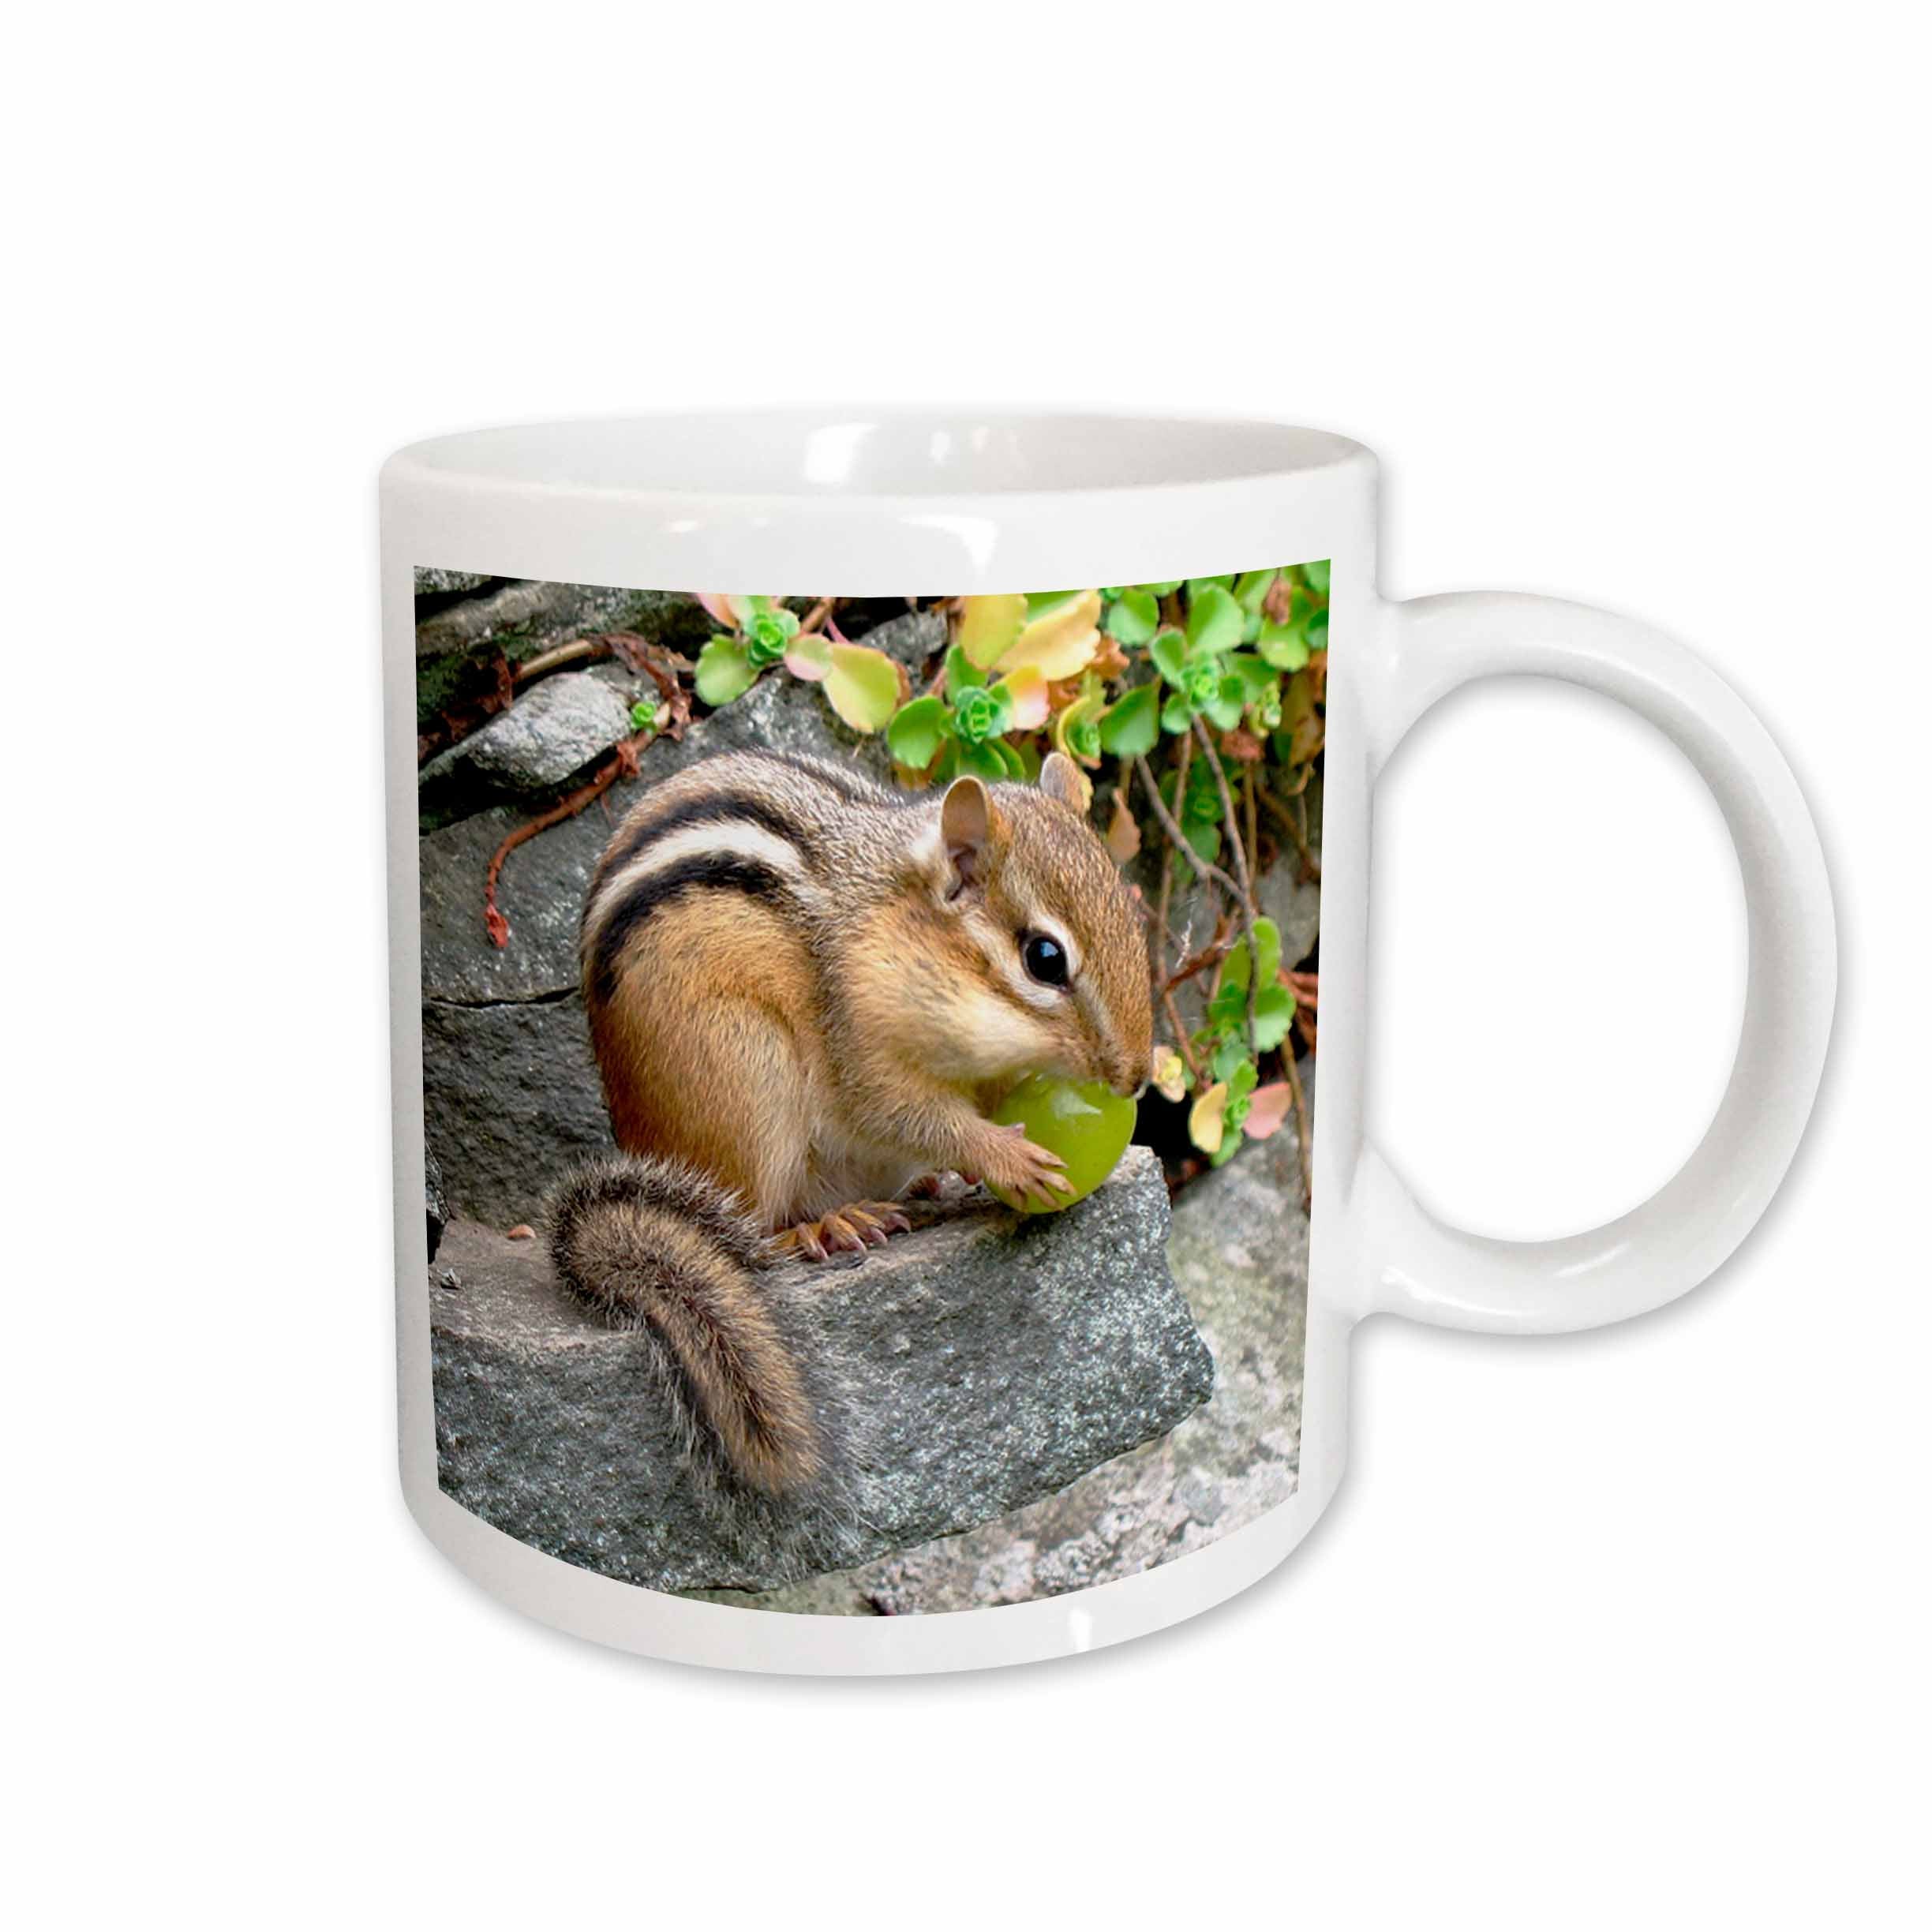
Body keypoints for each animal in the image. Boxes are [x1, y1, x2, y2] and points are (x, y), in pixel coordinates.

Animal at [546, 744, 1153, 1503]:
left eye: (1132, 911)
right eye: (1045, 959)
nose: (1138, 1076)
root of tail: (634, 1139)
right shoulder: (858, 1045)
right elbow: (905, 1114)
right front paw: (1005, 1157)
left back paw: (914, 1190)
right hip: (746, 1076)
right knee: (753, 1223)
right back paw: (822, 1226)